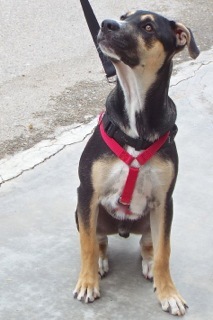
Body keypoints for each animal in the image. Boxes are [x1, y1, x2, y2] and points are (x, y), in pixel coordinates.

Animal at [73, 9, 200, 316]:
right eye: (123, 16)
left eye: (148, 27)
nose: (107, 24)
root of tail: (123, 229)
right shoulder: (87, 193)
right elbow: (87, 246)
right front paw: (88, 283)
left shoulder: (165, 201)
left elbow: (165, 252)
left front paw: (169, 293)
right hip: (84, 213)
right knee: (98, 240)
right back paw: (99, 263)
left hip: (154, 218)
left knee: (148, 244)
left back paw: (149, 264)